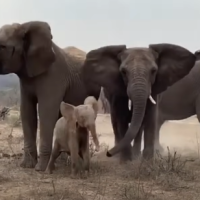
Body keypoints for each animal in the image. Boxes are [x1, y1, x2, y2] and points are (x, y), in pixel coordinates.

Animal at [0, 21, 101, 171]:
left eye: (2, 46)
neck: (24, 26)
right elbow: (27, 112)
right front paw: (27, 166)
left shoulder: (54, 76)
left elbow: (46, 113)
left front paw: (40, 169)